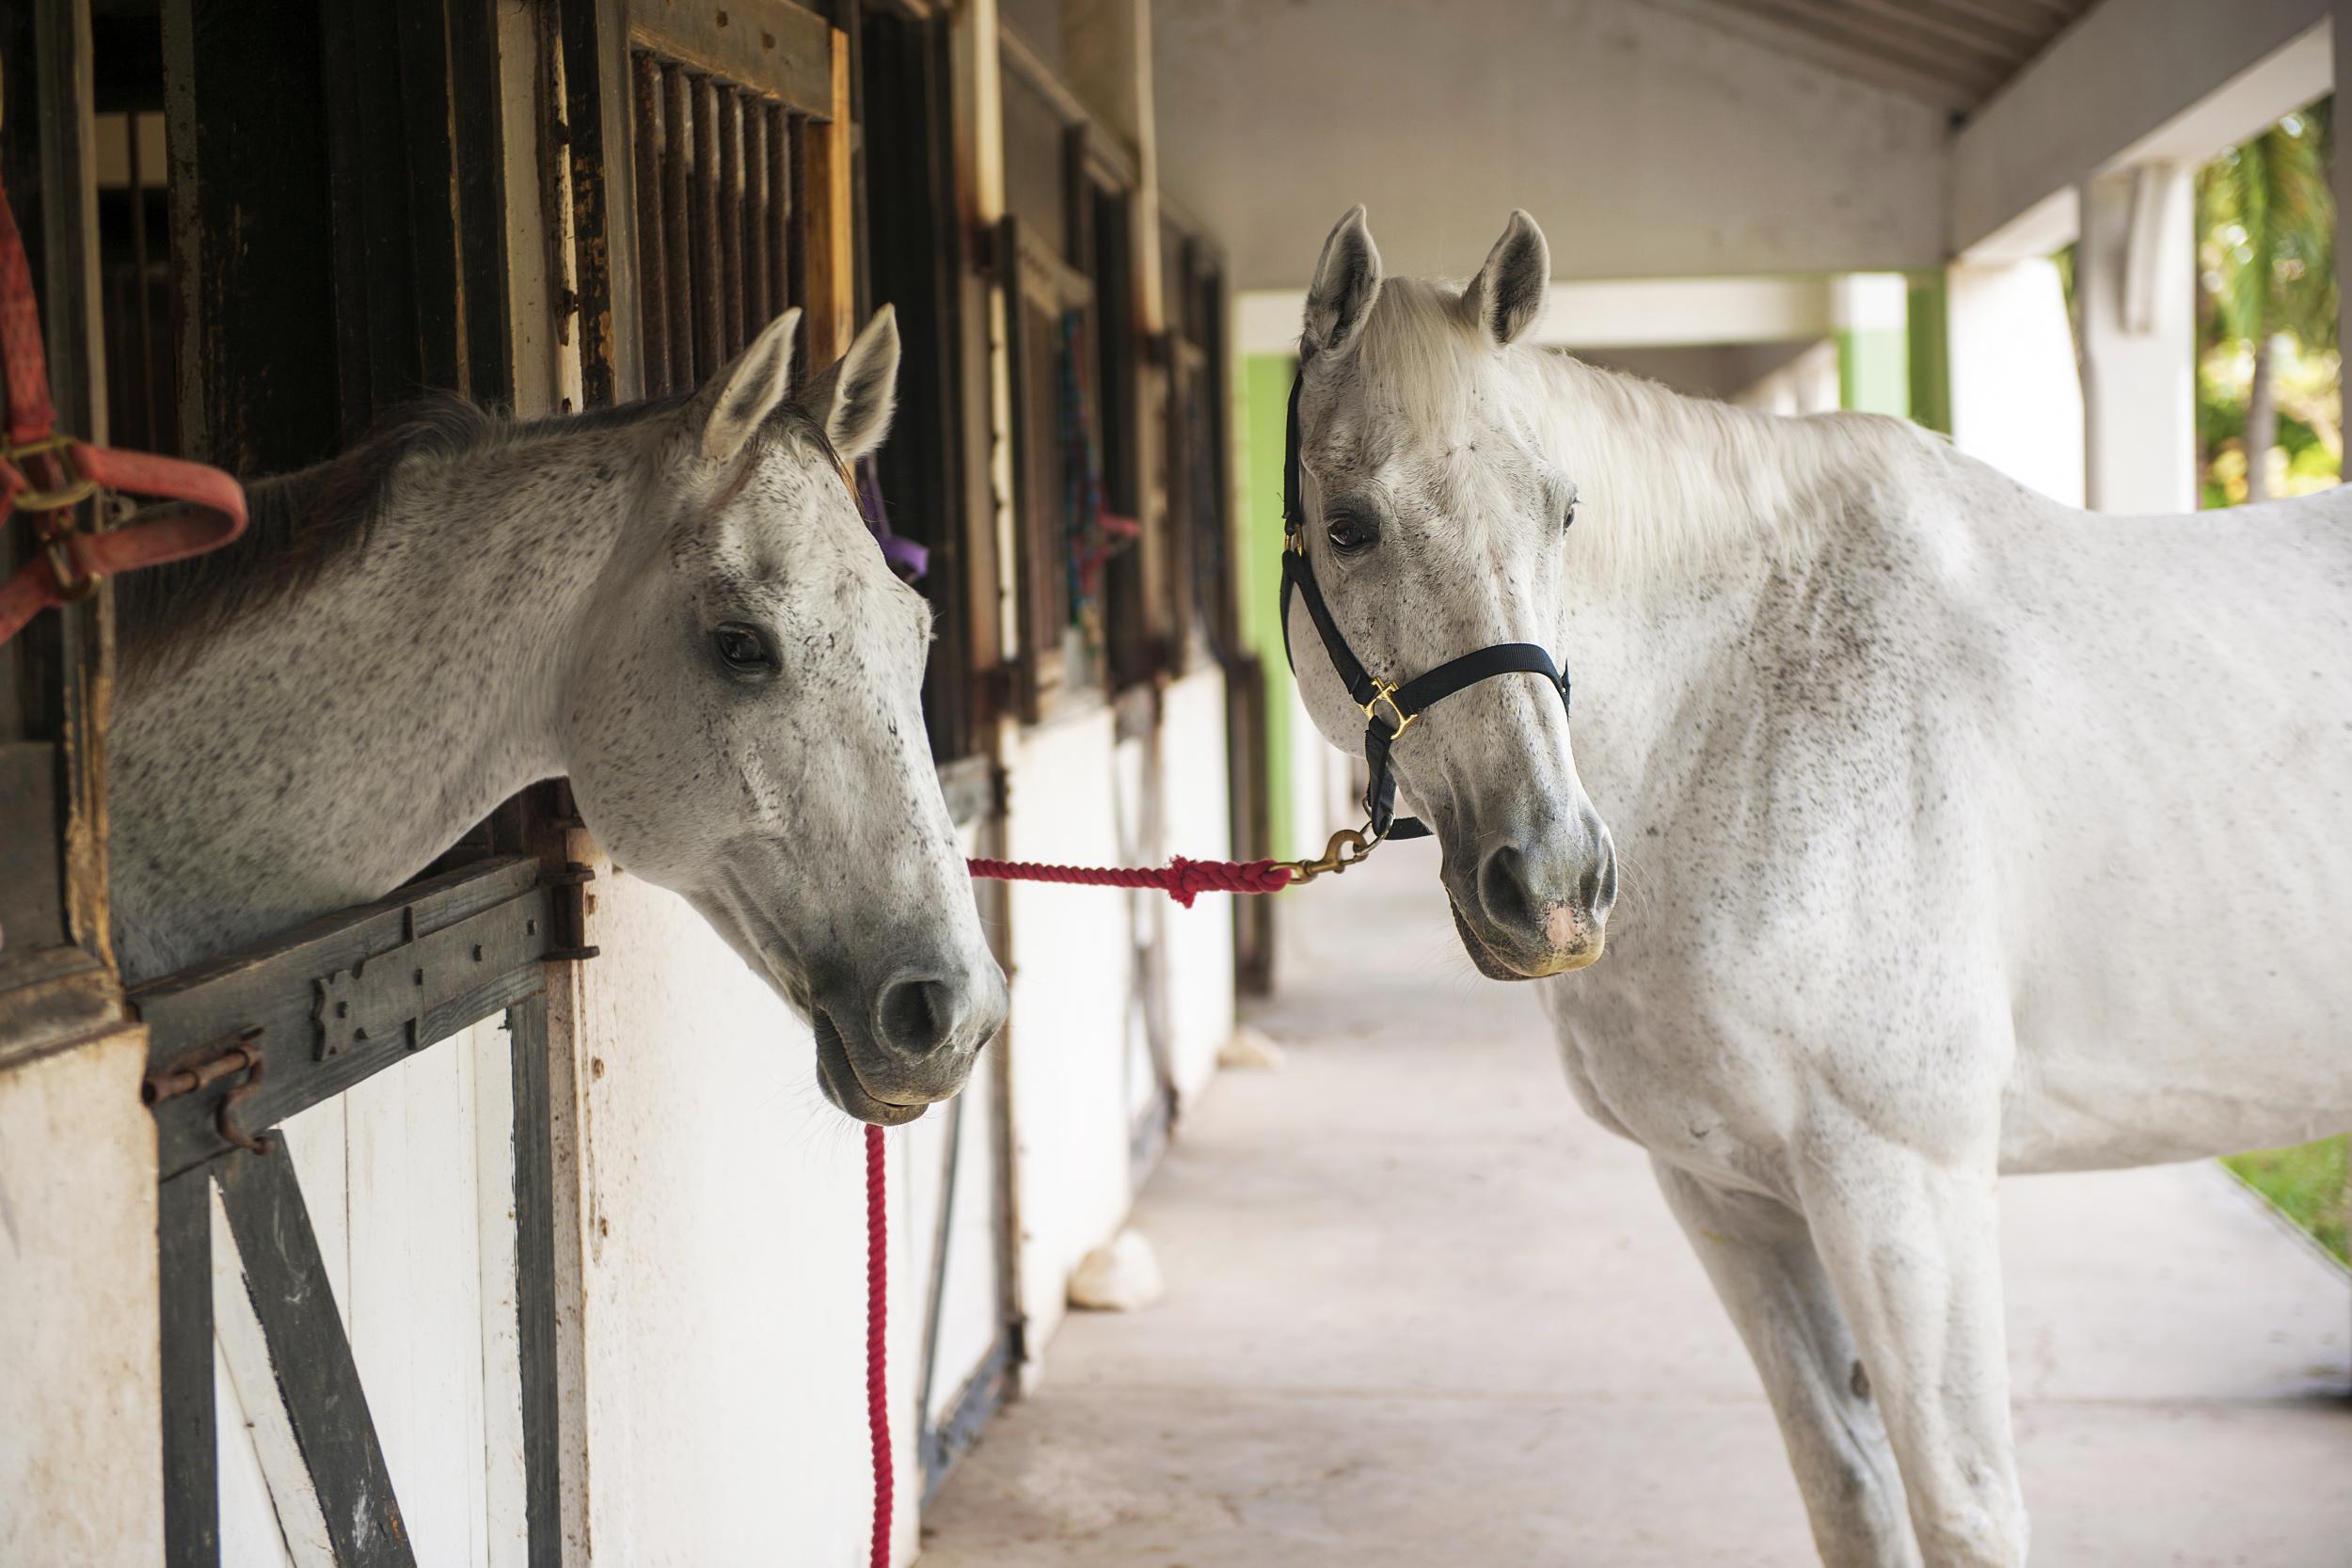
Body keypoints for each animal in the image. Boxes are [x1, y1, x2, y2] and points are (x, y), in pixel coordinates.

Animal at [1289, 208, 2352, 1568]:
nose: (1556, 878)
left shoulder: (1906, 1187)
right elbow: (1846, 1486)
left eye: (1565, 512)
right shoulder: (1729, 1192)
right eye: (1348, 523)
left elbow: (1962, 1506)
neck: (1731, 708)